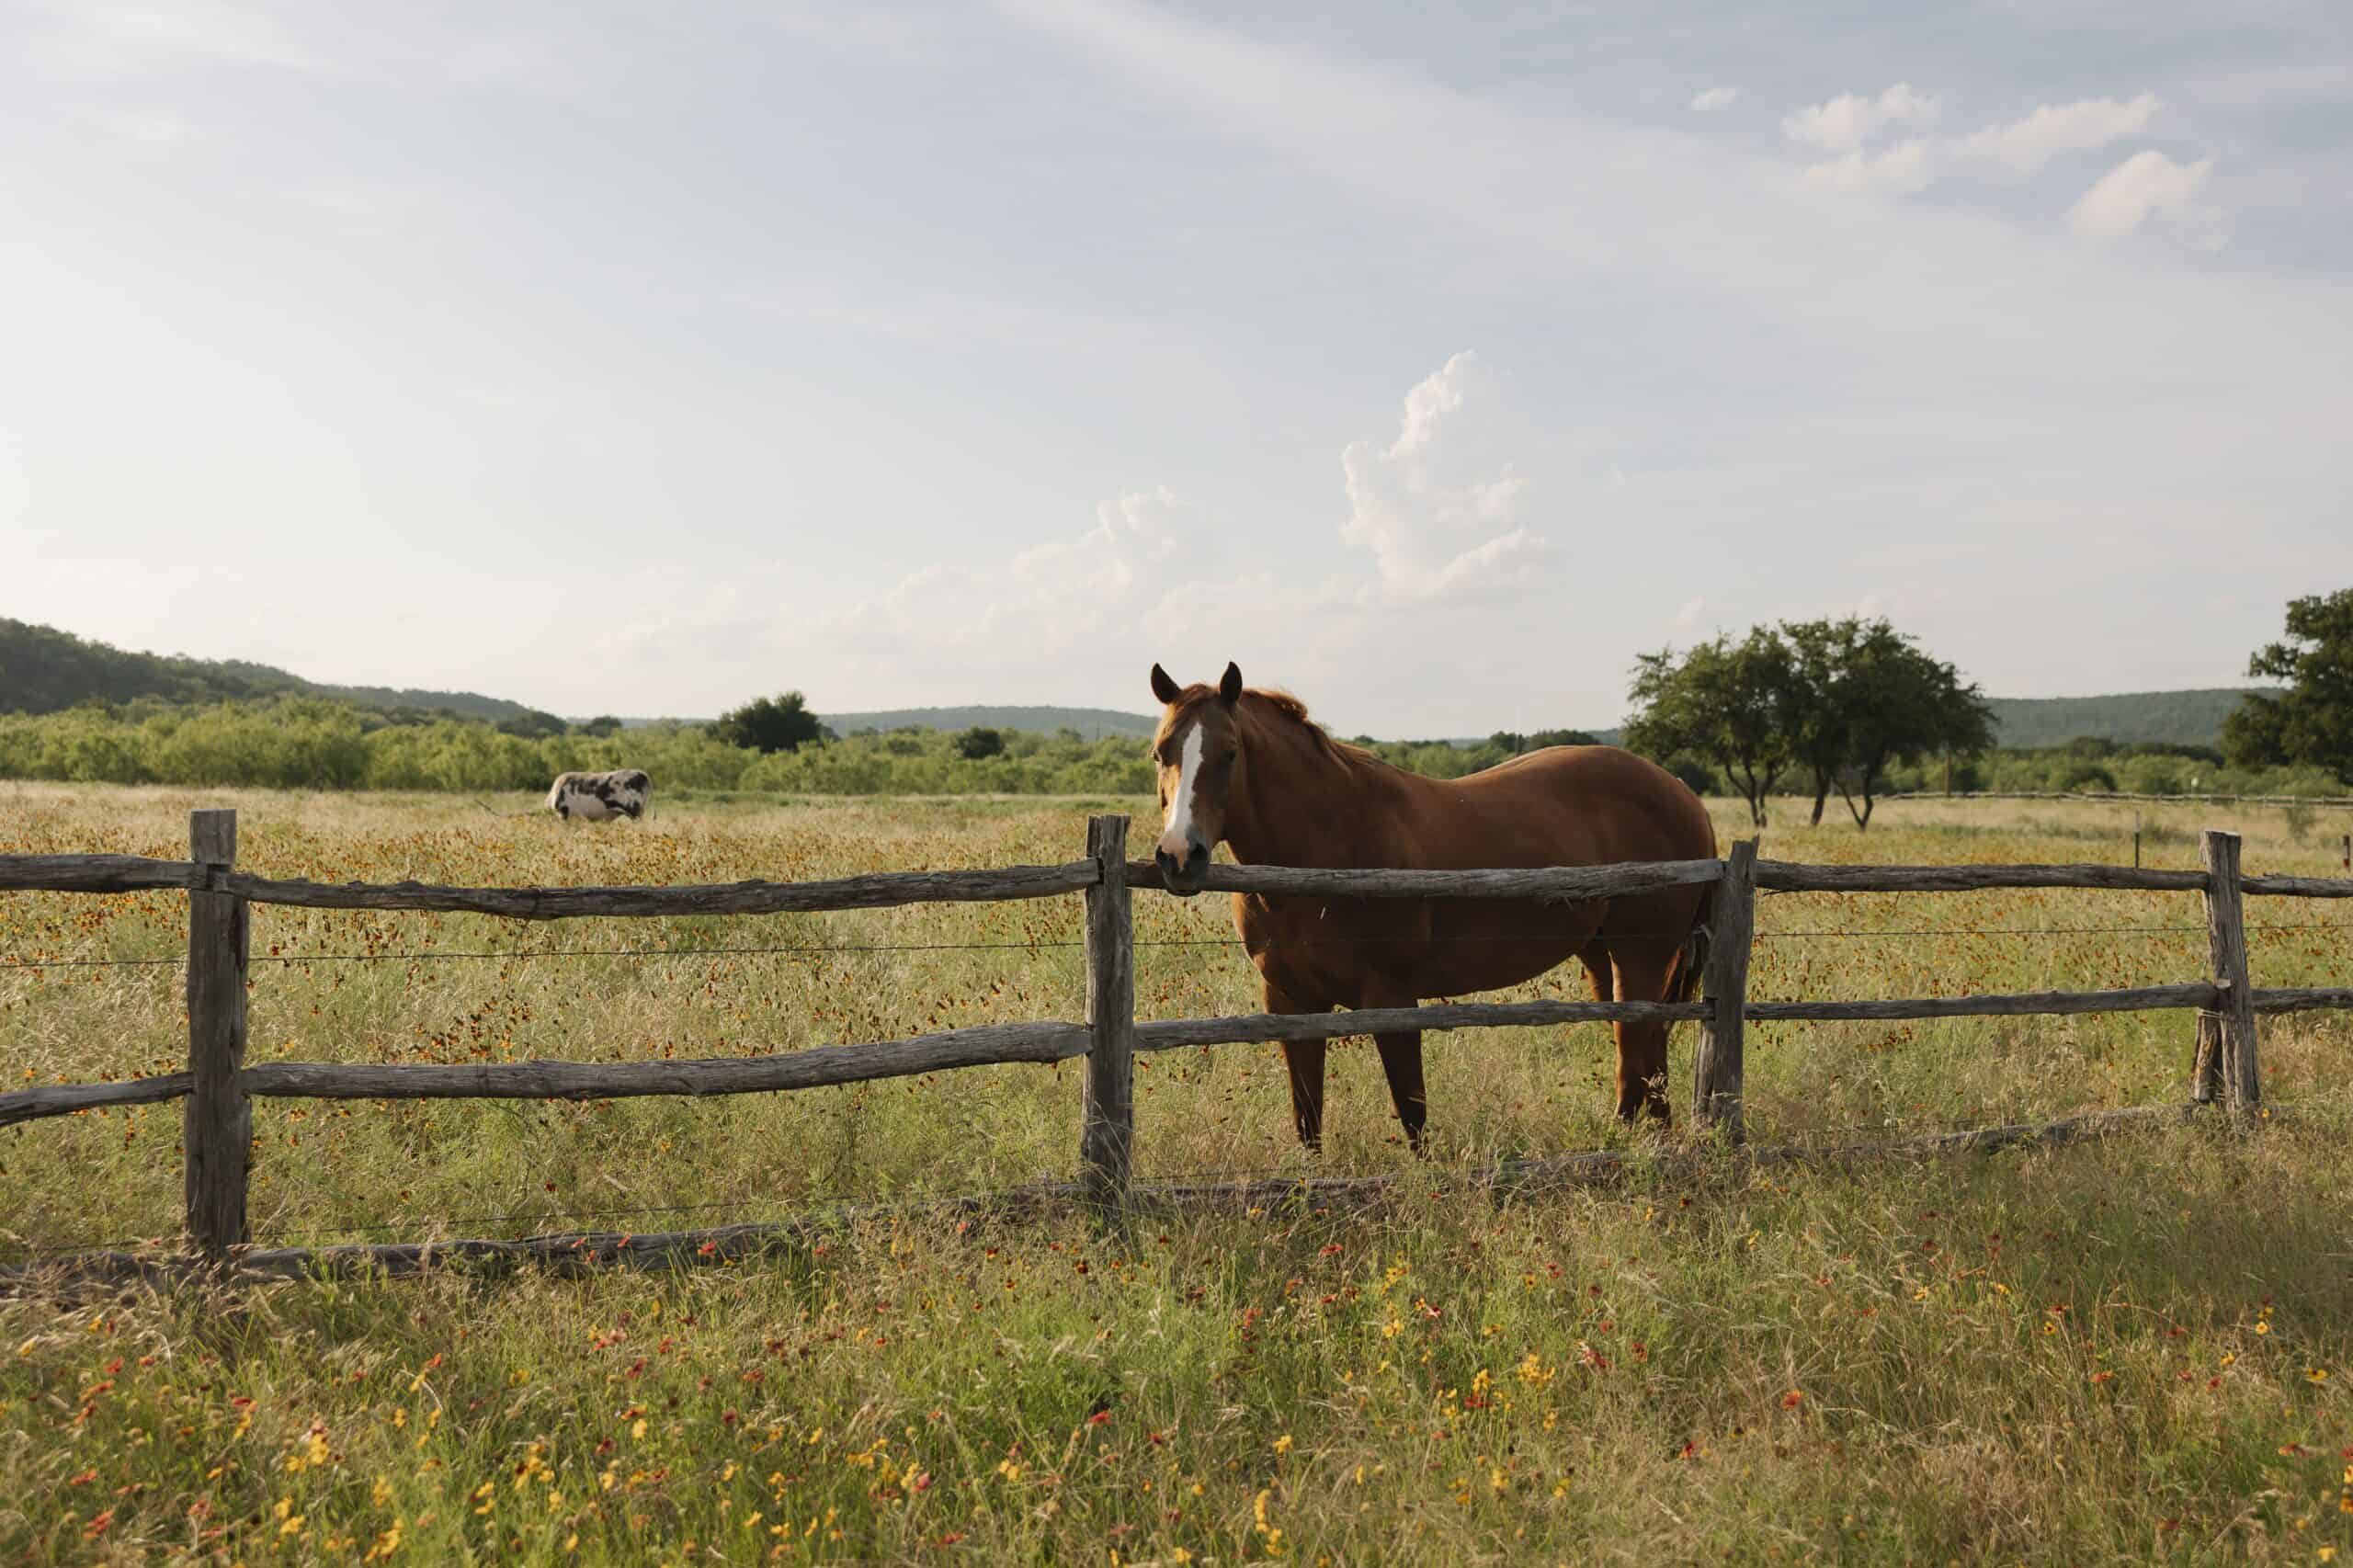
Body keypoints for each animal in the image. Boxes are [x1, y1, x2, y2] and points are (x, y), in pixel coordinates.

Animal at [1147, 661, 1717, 1150]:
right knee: (1643, 1048)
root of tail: (1683, 793)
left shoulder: (1391, 997)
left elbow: (1412, 1111)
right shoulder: (1290, 1000)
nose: (1179, 856)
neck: (1332, 844)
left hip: (1641, 954)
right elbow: (1307, 1115)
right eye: (1160, 752)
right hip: (1602, 955)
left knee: (1639, 1047)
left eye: (1230, 753)